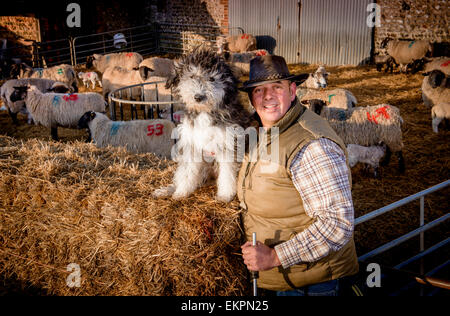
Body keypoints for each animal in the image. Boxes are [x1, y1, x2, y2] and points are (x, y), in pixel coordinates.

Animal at [154, 49, 253, 202]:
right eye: (192, 76)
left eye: (212, 79)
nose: (198, 97)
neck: (204, 112)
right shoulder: (191, 144)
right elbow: (186, 172)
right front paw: (181, 192)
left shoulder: (228, 145)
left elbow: (227, 174)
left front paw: (225, 195)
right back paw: (167, 190)